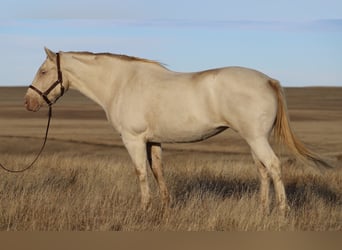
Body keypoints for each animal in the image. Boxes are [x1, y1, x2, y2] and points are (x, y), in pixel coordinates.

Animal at [24, 47, 328, 213]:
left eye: (43, 71)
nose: (28, 102)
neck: (121, 83)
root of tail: (268, 80)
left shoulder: (133, 140)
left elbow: (141, 173)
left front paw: (144, 208)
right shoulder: (153, 141)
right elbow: (158, 172)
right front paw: (165, 207)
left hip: (256, 138)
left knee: (274, 167)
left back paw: (282, 211)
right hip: (254, 140)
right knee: (263, 170)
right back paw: (263, 209)